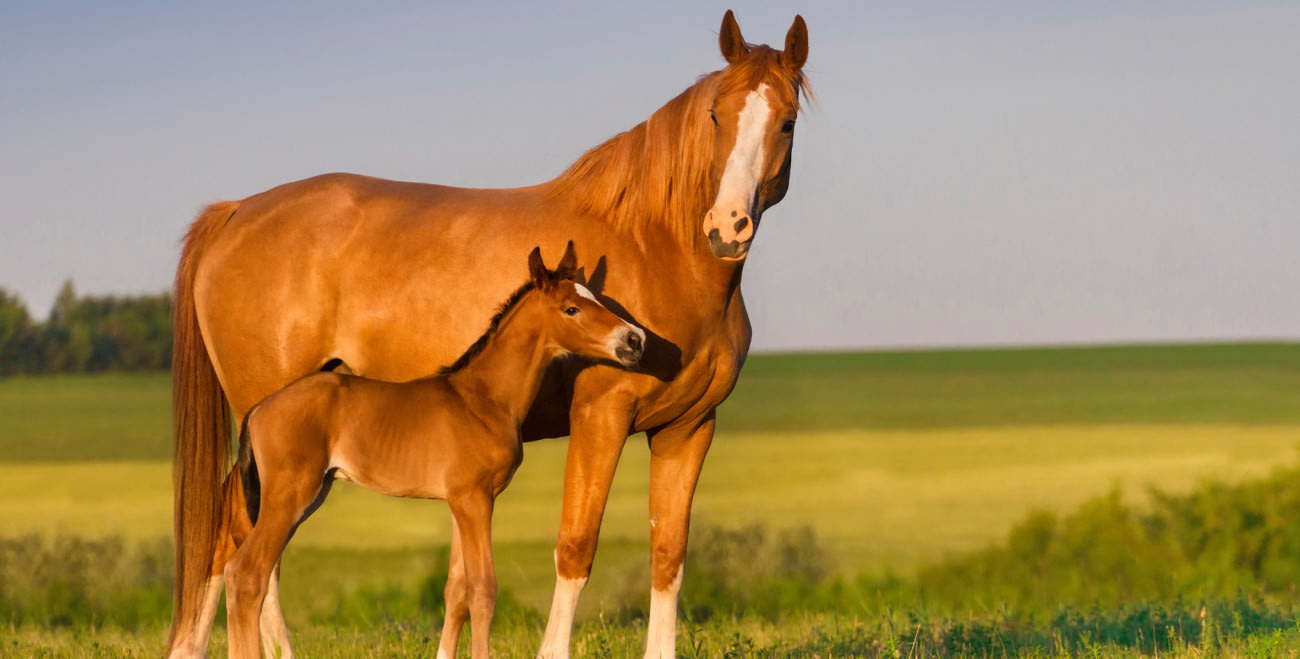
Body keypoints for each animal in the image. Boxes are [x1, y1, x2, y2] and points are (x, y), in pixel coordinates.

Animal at [228, 248, 650, 659]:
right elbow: (483, 589)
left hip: (307, 498)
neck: (483, 399)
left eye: (595, 297)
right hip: (289, 496)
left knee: (241, 573)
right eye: (571, 309)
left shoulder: (466, 503)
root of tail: (259, 410)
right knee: (248, 574)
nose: (635, 340)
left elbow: (458, 589)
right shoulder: (473, 499)